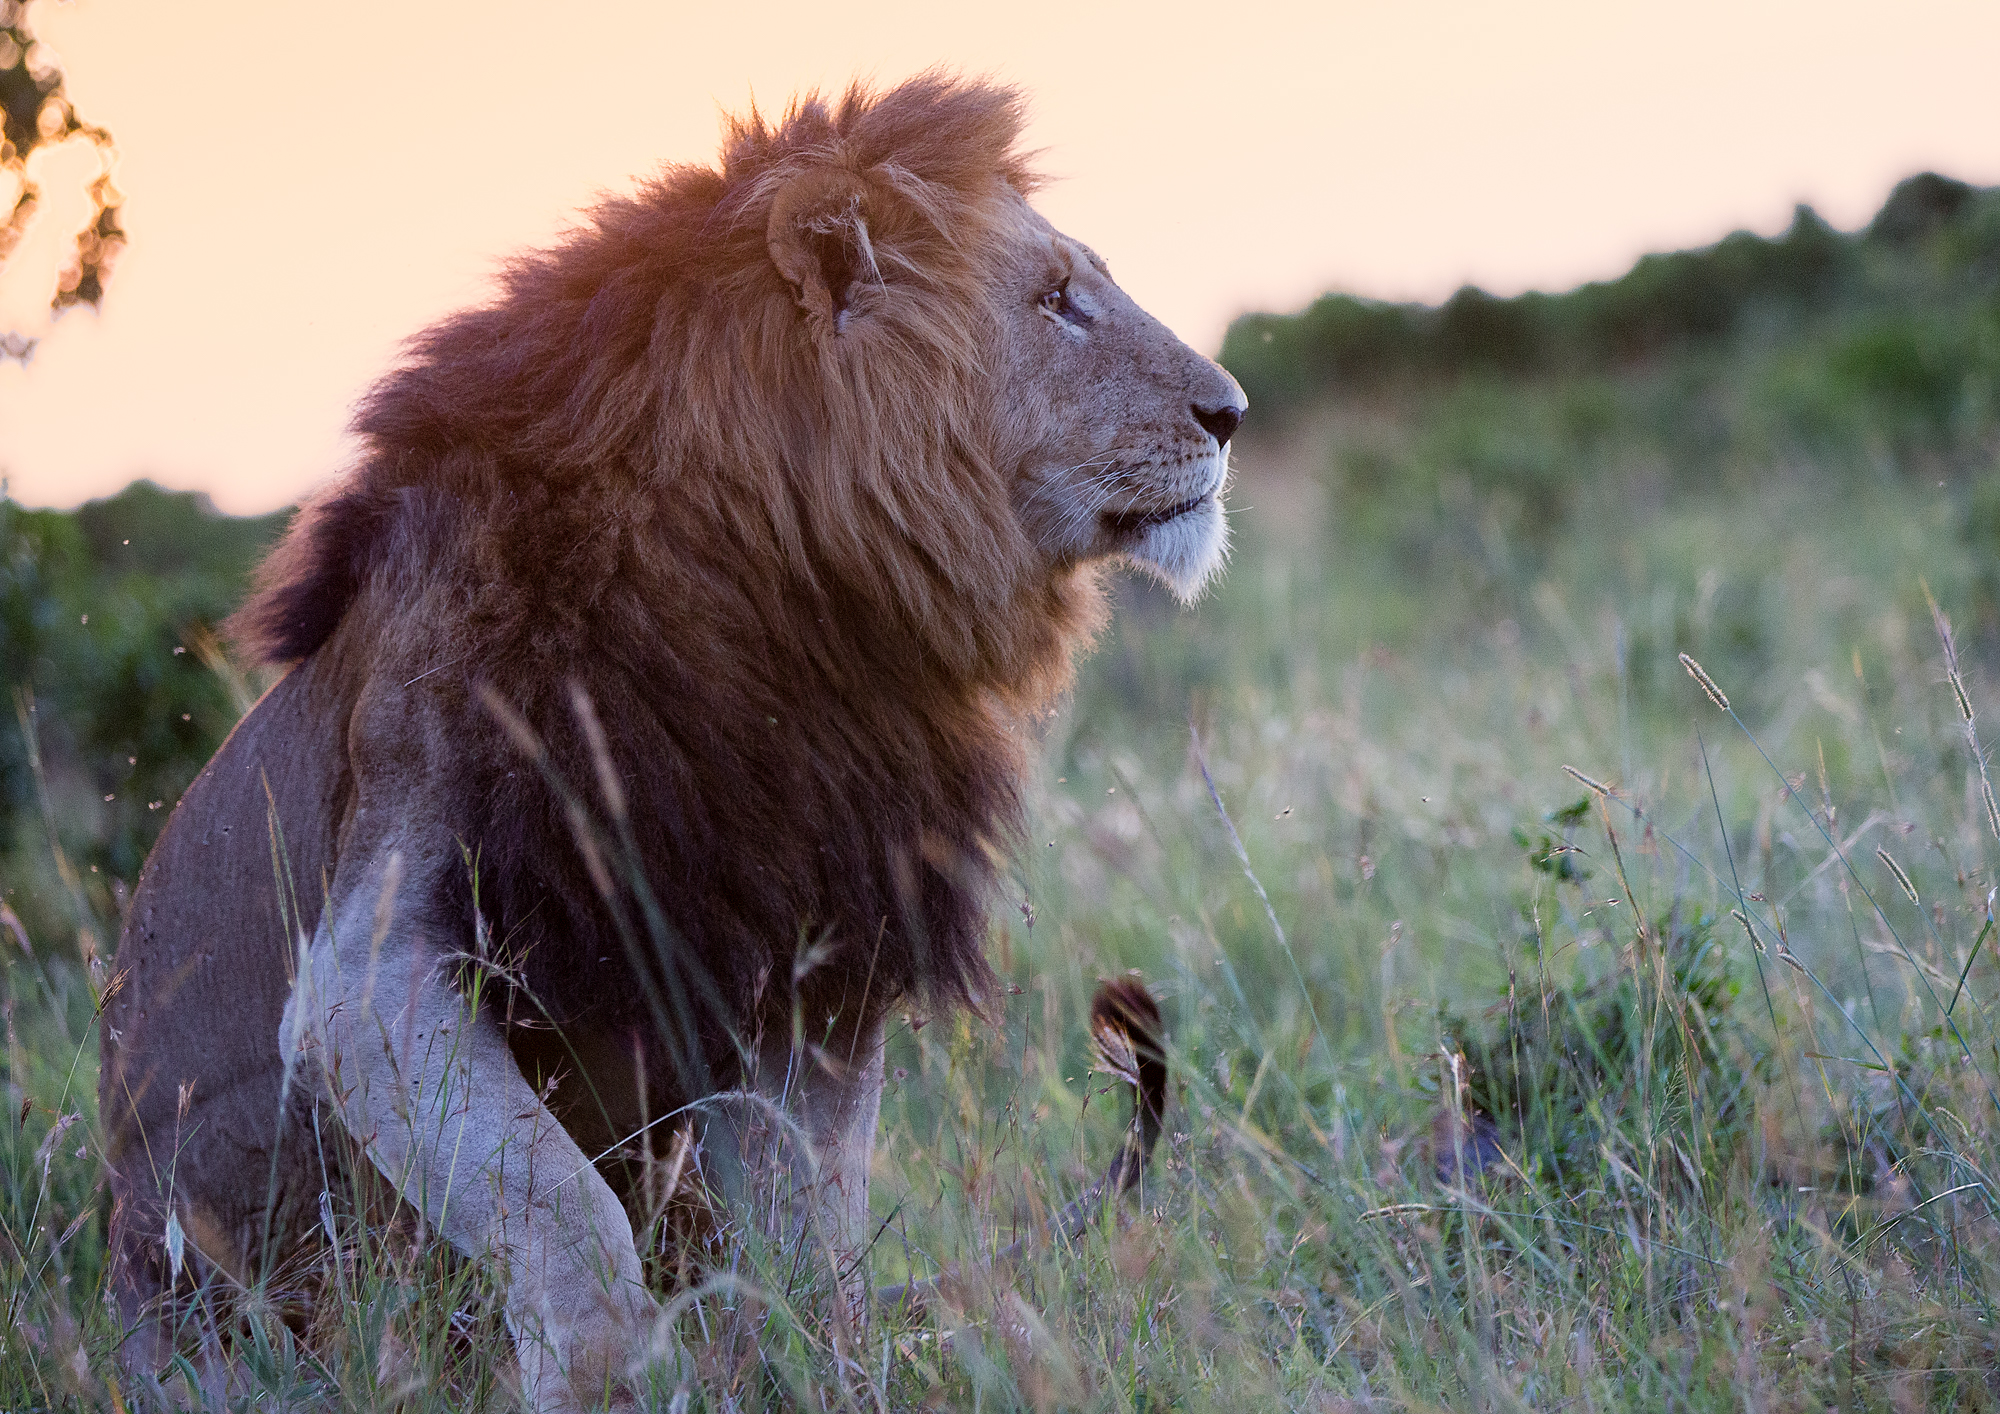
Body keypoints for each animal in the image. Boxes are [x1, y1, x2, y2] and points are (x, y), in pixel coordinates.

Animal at [101, 77, 1240, 1414]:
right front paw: (601, 1369)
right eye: (1056, 298)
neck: (793, 612)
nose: (1231, 411)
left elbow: (811, 1264)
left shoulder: (808, 965)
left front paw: (806, 1368)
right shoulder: (375, 961)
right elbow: (567, 1221)